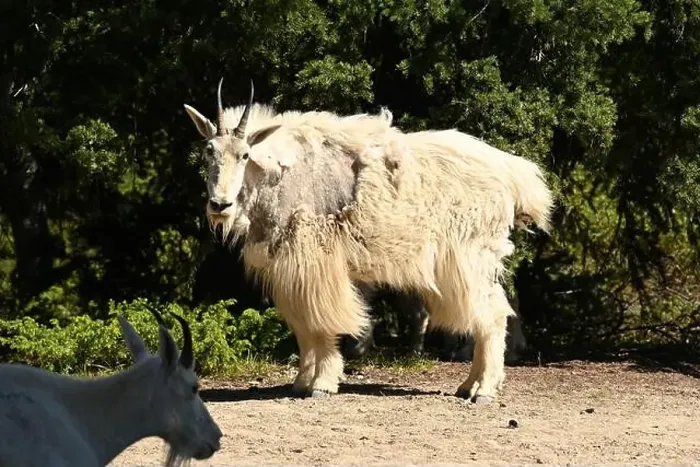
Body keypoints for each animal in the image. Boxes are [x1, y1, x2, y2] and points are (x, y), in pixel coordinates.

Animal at [183, 79, 553, 403]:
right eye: (208, 152)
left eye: (245, 155)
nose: (220, 205)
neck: (278, 175)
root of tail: (512, 173)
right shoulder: (287, 268)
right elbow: (301, 327)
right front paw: (301, 382)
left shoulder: (315, 264)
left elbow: (321, 325)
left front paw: (322, 384)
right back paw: (469, 385)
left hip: (469, 259)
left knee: (493, 315)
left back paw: (483, 389)